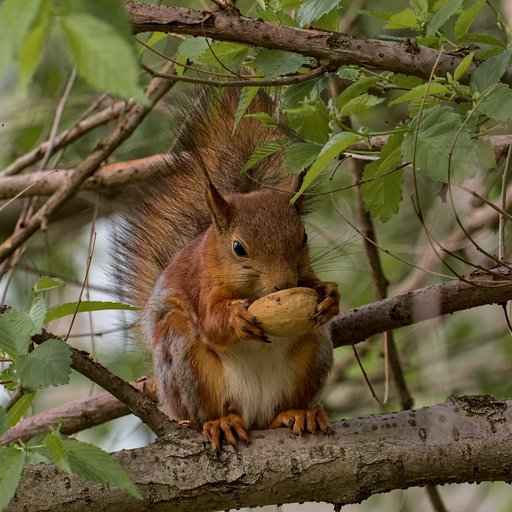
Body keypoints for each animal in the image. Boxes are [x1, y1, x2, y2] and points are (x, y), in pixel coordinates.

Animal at [115, 88, 340, 452]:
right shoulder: (200, 284)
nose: (284, 284)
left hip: (314, 351)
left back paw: (299, 413)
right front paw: (235, 319)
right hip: (183, 358)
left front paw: (330, 295)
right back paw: (220, 422)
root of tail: (254, 411)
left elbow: (315, 285)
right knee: (204, 409)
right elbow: (211, 321)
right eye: (238, 248)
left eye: (304, 237)